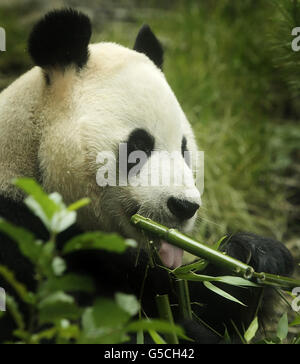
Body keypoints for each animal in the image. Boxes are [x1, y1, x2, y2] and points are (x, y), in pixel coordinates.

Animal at [0, 8, 294, 342]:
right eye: (139, 145)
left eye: (184, 148)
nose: (184, 206)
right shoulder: (20, 243)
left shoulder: (131, 266)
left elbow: (190, 299)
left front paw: (258, 256)